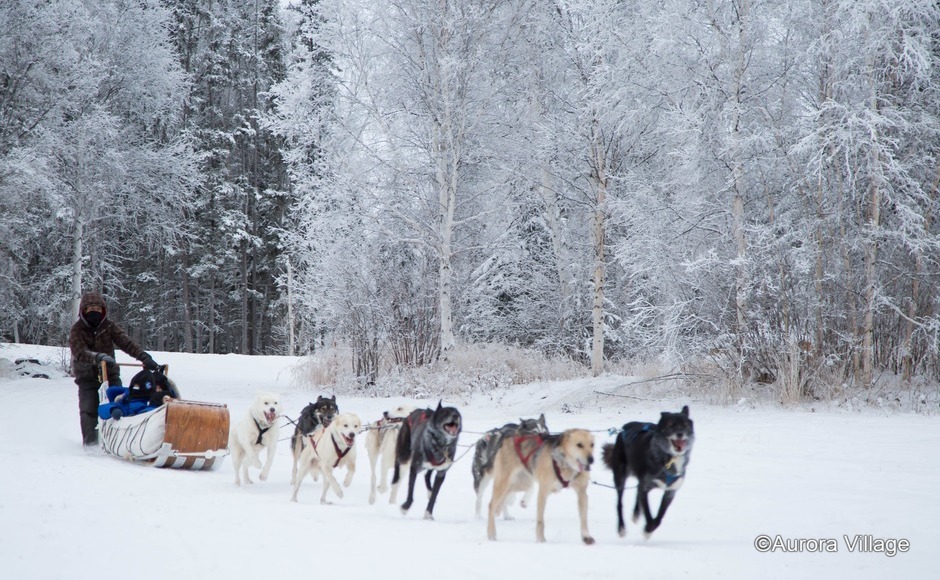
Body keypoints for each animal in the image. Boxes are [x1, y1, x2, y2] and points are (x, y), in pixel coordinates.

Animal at [604, 406, 692, 536]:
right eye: (671, 424)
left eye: (685, 424)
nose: (680, 434)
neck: (669, 459)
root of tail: (623, 429)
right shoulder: (646, 485)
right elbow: (648, 512)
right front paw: (648, 528)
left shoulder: (670, 491)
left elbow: (660, 516)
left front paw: (650, 527)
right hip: (620, 477)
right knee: (620, 503)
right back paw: (621, 527)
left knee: (637, 491)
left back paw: (636, 513)